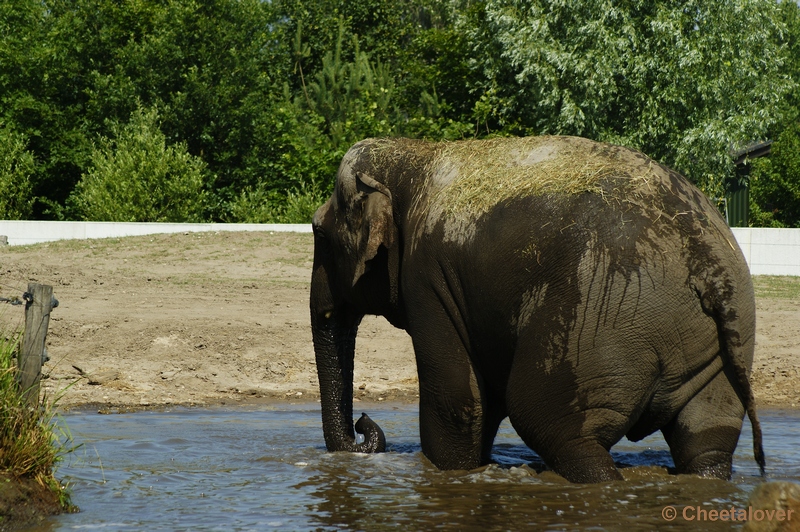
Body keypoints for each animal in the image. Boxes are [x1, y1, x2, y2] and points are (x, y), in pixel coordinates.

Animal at [310, 135, 764, 484]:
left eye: (319, 234)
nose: (363, 423)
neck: (415, 155)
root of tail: (707, 263)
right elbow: (485, 399)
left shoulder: (427, 277)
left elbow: (458, 401)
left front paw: (451, 476)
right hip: (718, 339)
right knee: (705, 442)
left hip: (601, 325)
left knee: (549, 422)